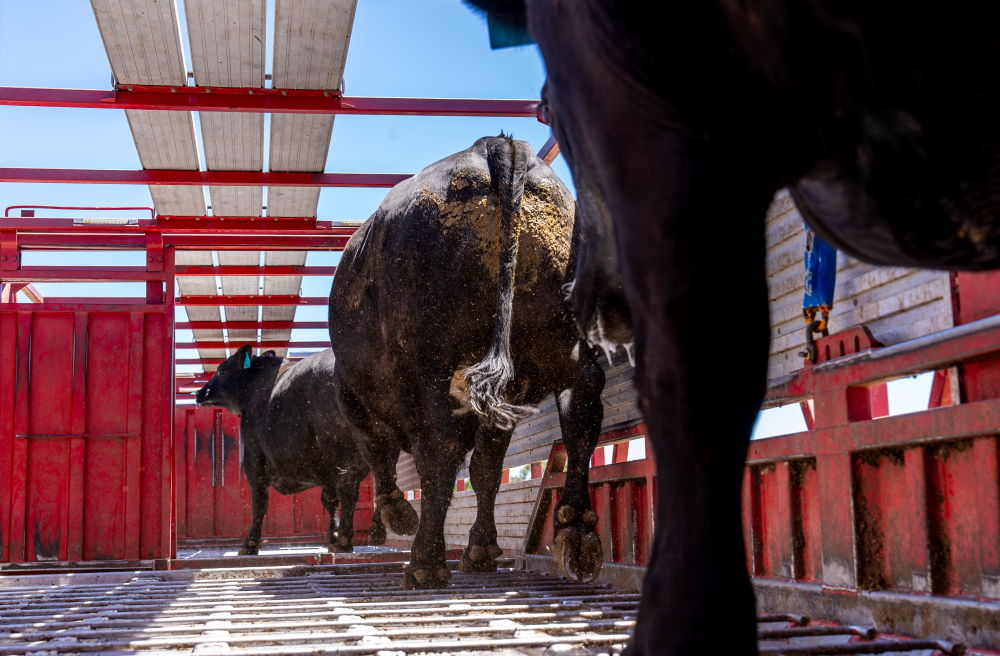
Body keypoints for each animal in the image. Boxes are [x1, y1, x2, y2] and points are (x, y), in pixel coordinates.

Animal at [195, 345, 386, 555]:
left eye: (221, 371)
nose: (199, 392)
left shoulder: (254, 459)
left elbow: (259, 502)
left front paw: (249, 544)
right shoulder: (327, 471)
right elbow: (330, 501)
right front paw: (332, 537)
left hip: (343, 449)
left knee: (348, 488)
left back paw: (345, 540)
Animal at [328, 134, 606, 590]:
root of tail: (496, 147)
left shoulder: (356, 399)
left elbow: (382, 454)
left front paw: (398, 514)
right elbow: (487, 469)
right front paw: (481, 549)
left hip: (430, 368)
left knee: (437, 451)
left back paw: (424, 563)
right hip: (565, 348)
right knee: (580, 416)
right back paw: (577, 532)